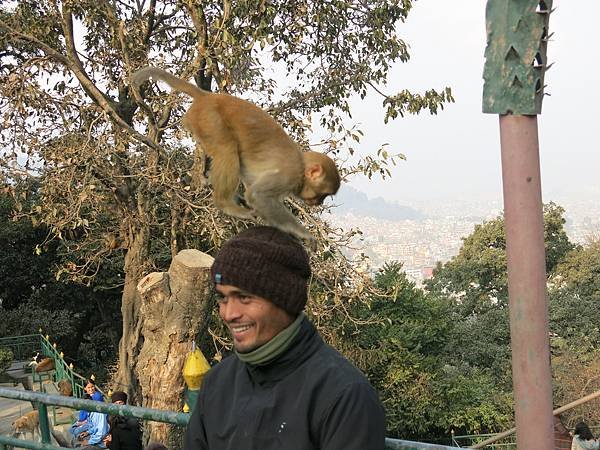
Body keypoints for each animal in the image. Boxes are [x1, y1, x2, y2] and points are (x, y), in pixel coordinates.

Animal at [131, 66, 340, 246]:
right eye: (324, 194)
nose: (319, 202)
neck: (301, 166)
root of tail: (209, 96)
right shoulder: (289, 174)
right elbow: (258, 195)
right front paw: (302, 233)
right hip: (209, 119)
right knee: (227, 148)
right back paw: (225, 203)